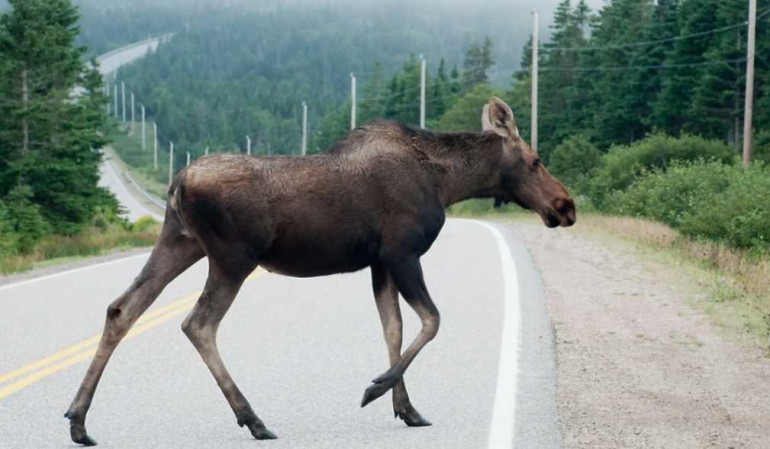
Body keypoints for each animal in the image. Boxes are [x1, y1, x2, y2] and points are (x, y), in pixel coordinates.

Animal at [64, 96, 568, 442]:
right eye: (536, 160)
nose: (566, 205)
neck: (448, 183)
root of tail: (178, 184)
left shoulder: (378, 262)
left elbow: (394, 329)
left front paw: (406, 408)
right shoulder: (402, 253)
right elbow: (432, 320)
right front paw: (376, 388)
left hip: (180, 242)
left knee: (122, 309)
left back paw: (78, 420)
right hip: (232, 257)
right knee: (198, 323)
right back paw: (253, 419)